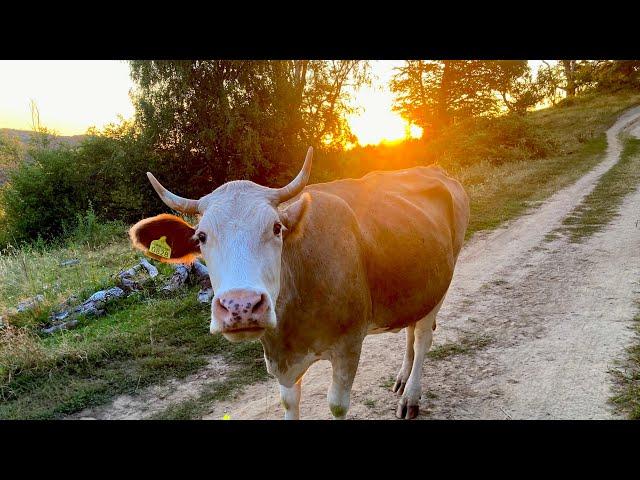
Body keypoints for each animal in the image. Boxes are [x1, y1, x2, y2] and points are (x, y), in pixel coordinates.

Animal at [129, 147, 470, 420]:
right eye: (201, 236)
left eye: (276, 228)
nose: (241, 306)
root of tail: (432, 168)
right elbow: (289, 401)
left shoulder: (349, 346)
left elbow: (337, 405)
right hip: (418, 285)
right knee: (412, 328)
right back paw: (402, 377)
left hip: (443, 279)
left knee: (423, 336)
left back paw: (411, 396)